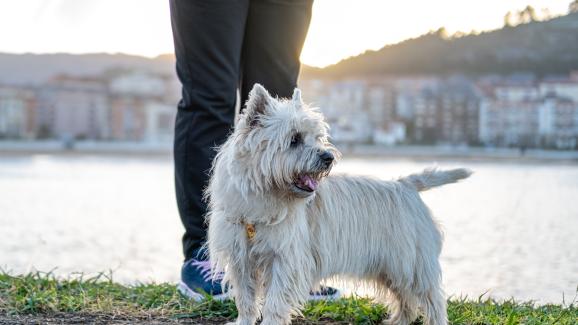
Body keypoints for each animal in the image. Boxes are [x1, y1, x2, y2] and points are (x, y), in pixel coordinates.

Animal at [205, 84, 470, 324]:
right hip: (390, 267)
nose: (328, 157)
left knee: (432, 301)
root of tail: (406, 186)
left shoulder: (284, 260)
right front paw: (244, 321)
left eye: (318, 138)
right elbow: (246, 300)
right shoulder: (241, 259)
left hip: (412, 265)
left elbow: (274, 303)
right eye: (294, 139)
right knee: (406, 300)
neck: (263, 197)